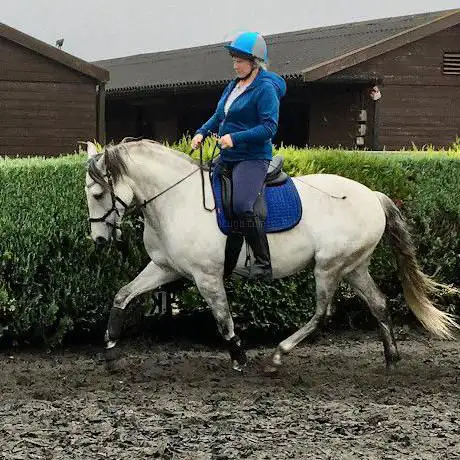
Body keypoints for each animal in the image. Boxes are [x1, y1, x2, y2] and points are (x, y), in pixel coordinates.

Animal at [84, 138, 458, 372]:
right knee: (378, 304)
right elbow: (122, 295)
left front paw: (239, 357)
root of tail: (373, 195)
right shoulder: (164, 267)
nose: (100, 240)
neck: (177, 200)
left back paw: (277, 356)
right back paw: (391, 358)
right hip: (354, 266)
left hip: (329, 267)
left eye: (99, 194)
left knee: (322, 314)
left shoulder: (206, 277)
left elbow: (223, 319)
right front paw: (111, 351)